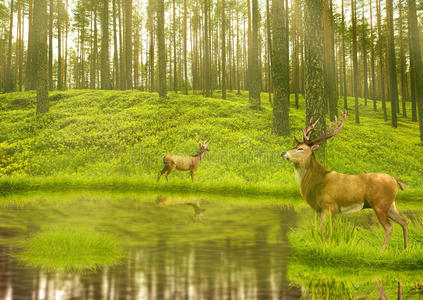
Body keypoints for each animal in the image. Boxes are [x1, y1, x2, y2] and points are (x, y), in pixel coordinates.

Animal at [284, 110, 410, 251]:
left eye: (300, 148)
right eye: (295, 145)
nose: (283, 154)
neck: (317, 183)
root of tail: (394, 179)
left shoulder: (330, 206)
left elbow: (322, 231)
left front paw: (324, 247)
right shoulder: (323, 210)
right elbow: (327, 231)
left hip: (380, 204)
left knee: (389, 227)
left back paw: (382, 251)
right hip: (390, 205)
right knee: (404, 221)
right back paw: (405, 249)